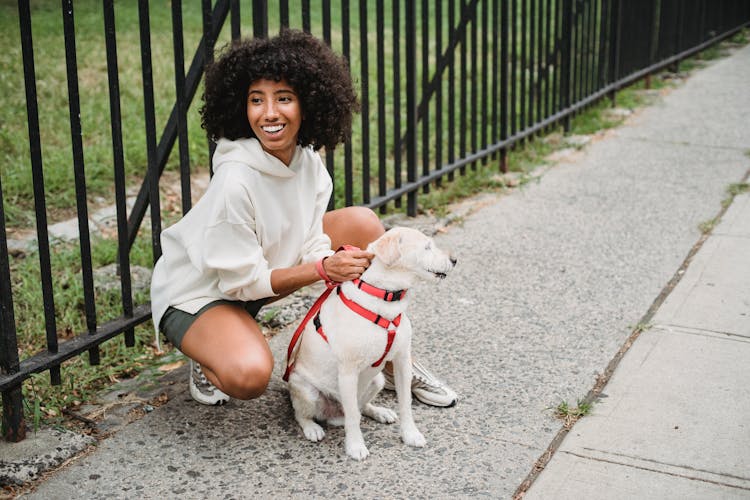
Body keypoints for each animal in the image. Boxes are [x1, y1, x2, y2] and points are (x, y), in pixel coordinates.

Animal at [284, 227, 456, 460]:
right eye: (427, 247)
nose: (454, 260)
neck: (386, 296)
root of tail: (333, 413)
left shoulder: (402, 361)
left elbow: (406, 403)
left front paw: (410, 434)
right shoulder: (347, 373)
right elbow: (352, 419)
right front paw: (355, 446)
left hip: (378, 380)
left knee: (360, 407)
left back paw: (379, 412)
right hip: (304, 388)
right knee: (302, 414)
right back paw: (312, 428)